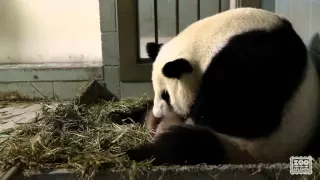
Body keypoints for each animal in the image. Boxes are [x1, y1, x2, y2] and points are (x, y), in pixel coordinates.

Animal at [125, 7, 320, 165]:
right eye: (157, 92)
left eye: (166, 95)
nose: (158, 116)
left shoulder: (254, 60)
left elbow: (243, 110)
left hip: (247, 147)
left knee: (190, 144)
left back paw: (137, 152)